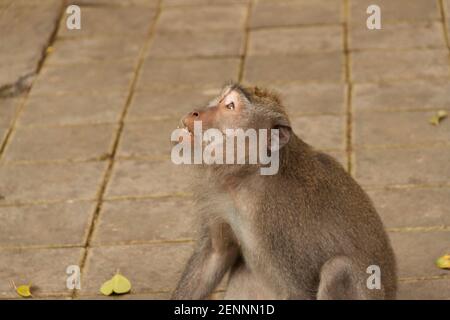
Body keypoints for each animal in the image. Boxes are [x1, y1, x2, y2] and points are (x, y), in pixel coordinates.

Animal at [171, 83, 396, 300]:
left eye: (230, 106)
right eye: (220, 99)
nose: (195, 113)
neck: (249, 177)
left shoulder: (279, 222)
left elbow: (299, 289)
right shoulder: (219, 198)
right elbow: (216, 254)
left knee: (338, 269)